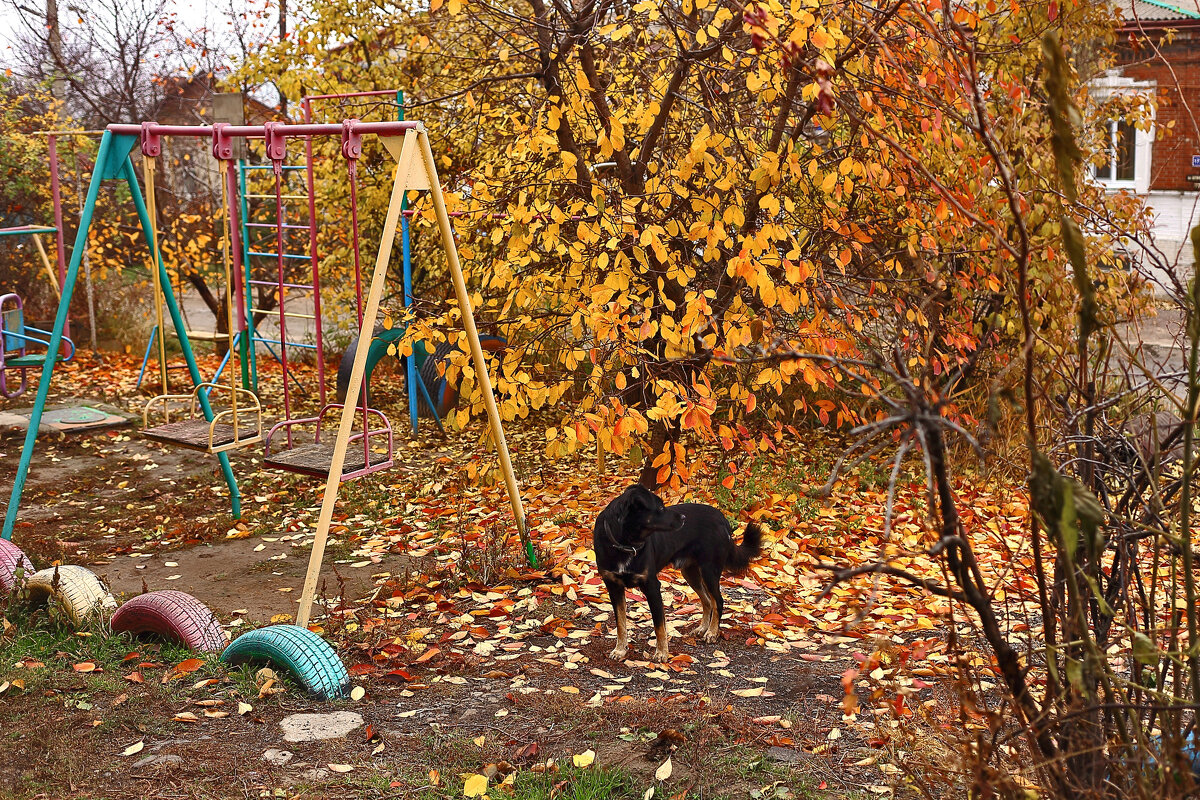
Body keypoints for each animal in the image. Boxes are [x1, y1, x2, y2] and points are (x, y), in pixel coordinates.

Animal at [595, 484, 763, 662]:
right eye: (660, 508)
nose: (683, 518)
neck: (625, 543)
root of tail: (722, 518)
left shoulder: (652, 586)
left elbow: (659, 626)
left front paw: (662, 653)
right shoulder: (614, 587)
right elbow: (621, 623)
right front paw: (620, 650)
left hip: (709, 571)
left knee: (718, 601)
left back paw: (712, 632)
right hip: (690, 573)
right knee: (707, 601)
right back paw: (703, 628)